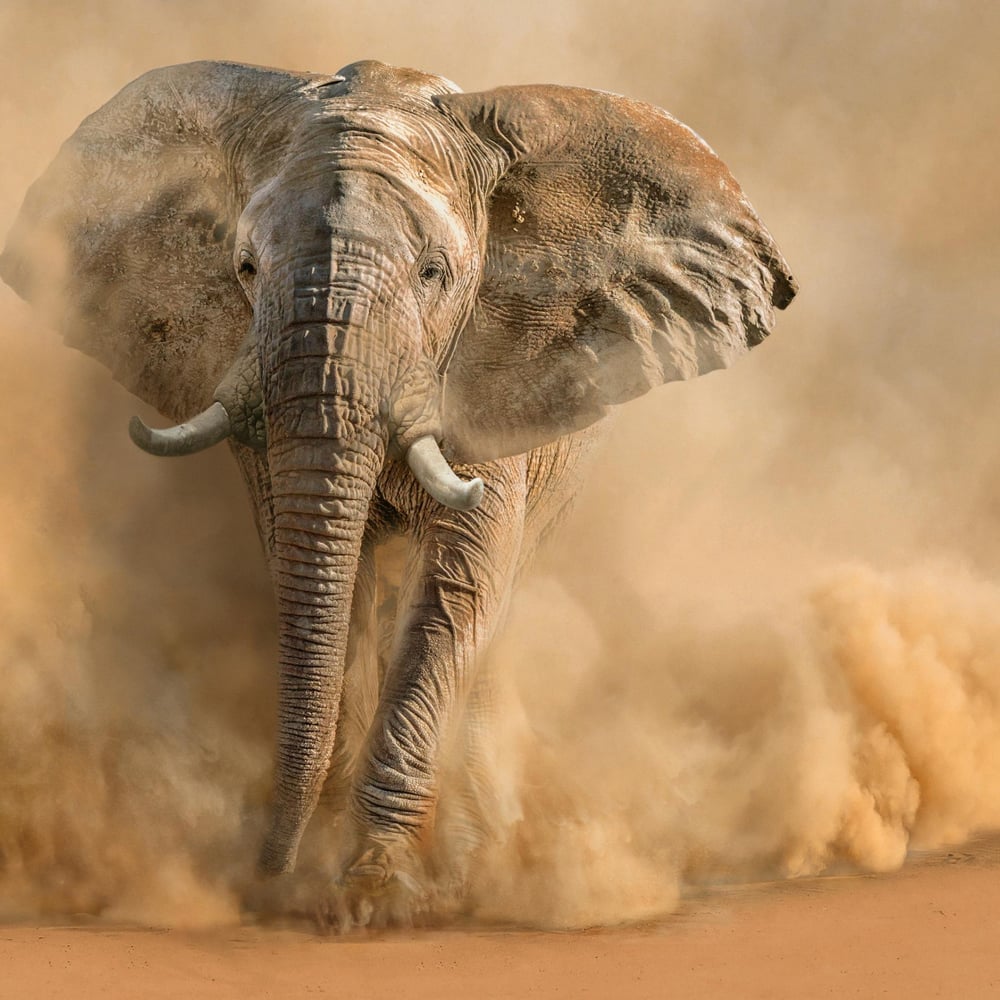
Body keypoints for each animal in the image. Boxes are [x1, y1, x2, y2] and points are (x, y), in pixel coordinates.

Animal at [0, 59, 796, 919]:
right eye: (245, 268)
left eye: (433, 274)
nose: (262, 874)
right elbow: (326, 581)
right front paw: (321, 874)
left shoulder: (483, 374)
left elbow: (457, 591)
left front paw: (373, 893)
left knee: (494, 613)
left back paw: (475, 863)